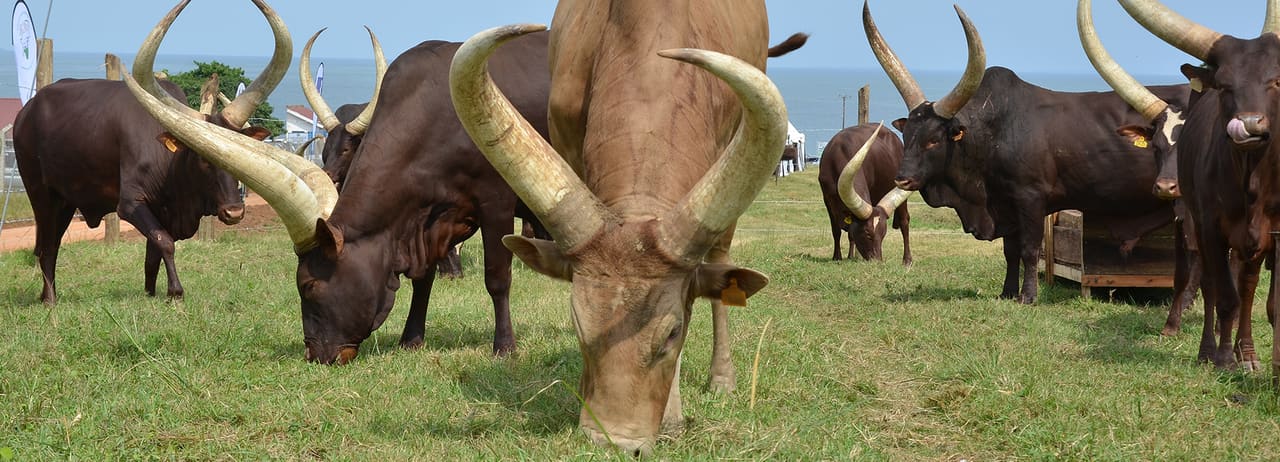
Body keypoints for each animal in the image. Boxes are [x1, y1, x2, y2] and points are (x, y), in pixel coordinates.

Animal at [13, 0, 287, 305]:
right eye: (202, 157)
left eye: (240, 153)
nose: (234, 212)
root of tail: (27, 111)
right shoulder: (131, 203)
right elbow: (164, 242)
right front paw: (175, 292)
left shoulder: (162, 209)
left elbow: (152, 255)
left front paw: (151, 292)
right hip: (40, 194)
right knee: (47, 246)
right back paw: (50, 299)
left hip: (65, 200)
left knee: (52, 243)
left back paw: (45, 295)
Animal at [817, 123, 913, 264]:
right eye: (867, 233)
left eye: (883, 233)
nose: (878, 261)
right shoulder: (827, 199)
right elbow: (837, 231)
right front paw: (838, 257)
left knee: (904, 221)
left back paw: (907, 260)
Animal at [864, 1, 1189, 304]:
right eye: (906, 135)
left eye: (933, 140)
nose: (902, 179)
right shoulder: (1005, 203)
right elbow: (1011, 251)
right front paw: (1007, 292)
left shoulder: (1030, 199)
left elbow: (1029, 250)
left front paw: (1028, 296)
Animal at [1116, 0, 1280, 372]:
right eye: (1223, 84)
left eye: (1277, 79)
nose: (1249, 125)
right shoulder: (1206, 227)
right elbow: (1224, 296)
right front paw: (1222, 359)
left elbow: (1270, 303)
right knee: (1215, 286)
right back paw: (1211, 351)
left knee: (1248, 283)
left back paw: (1248, 353)